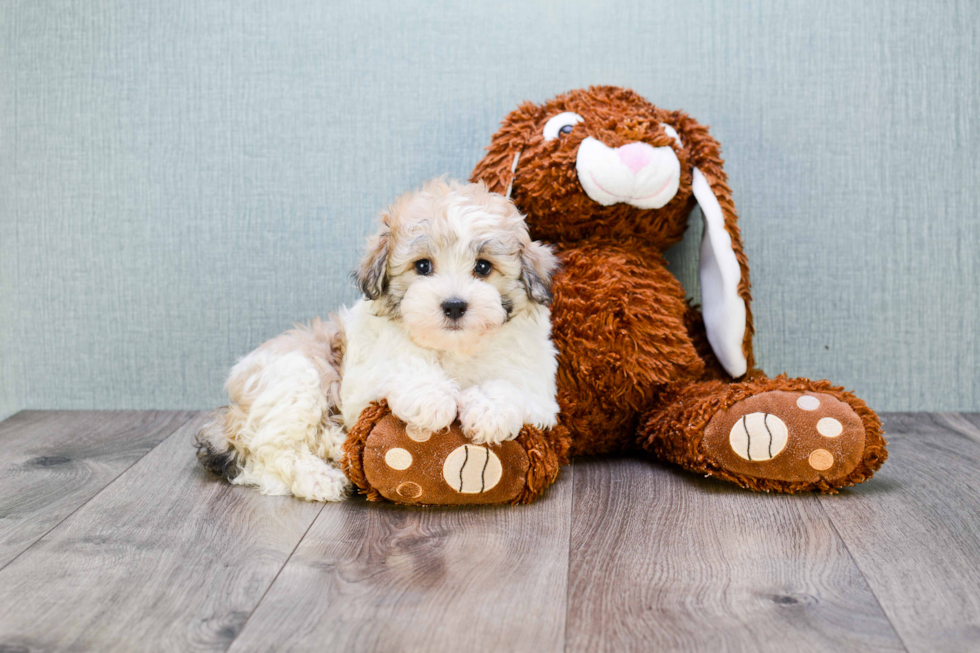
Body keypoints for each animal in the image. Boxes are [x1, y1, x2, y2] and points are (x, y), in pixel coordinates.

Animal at [195, 181, 560, 502]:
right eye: (423, 266)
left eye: (483, 267)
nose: (454, 305)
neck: (452, 349)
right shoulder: (365, 378)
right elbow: (402, 367)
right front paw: (433, 398)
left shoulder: (541, 391)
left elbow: (509, 385)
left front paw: (488, 413)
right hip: (296, 374)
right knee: (271, 449)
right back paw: (321, 478)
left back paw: (334, 443)